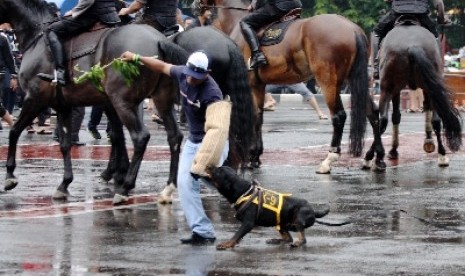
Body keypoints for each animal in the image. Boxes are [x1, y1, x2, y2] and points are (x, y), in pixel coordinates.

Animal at [201, 0, 376, 174]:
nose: (199, 9)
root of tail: (353, 29)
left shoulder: (249, 84)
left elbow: (253, 116)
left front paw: (251, 155)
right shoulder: (258, 84)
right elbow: (259, 117)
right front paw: (256, 156)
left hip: (328, 82)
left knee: (339, 116)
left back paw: (329, 159)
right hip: (353, 80)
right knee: (372, 112)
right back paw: (371, 158)